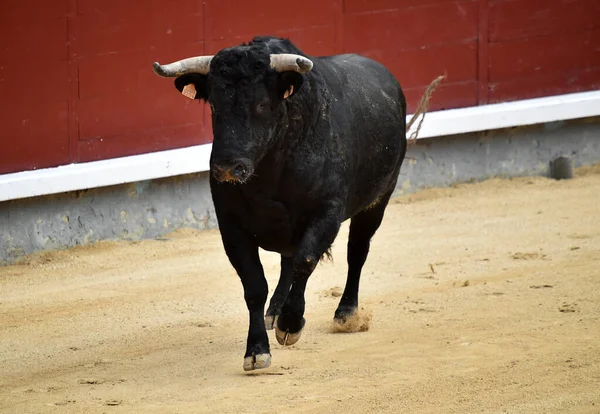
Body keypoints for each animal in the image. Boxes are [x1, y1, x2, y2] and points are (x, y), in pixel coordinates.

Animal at [152, 36, 440, 372]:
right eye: (213, 105)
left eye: (262, 104)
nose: (227, 167)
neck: (272, 168)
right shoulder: (231, 225)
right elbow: (255, 284)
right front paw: (257, 348)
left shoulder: (326, 212)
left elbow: (306, 261)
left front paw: (291, 325)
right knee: (287, 261)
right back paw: (275, 310)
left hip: (379, 200)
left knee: (356, 252)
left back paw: (345, 313)